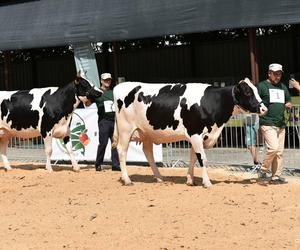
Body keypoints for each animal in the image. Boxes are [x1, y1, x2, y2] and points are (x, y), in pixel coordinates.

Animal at [112, 78, 268, 188]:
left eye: (256, 90)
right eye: (248, 92)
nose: (264, 109)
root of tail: (120, 85)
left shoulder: (198, 137)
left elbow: (193, 158)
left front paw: (190, 180)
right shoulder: (196, 134)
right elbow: (202, 158)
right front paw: (207, 182)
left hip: (146, 133)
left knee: (148, 152)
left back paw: (159, 177)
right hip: (125, 129)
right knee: (122, 151)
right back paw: (127, 180)